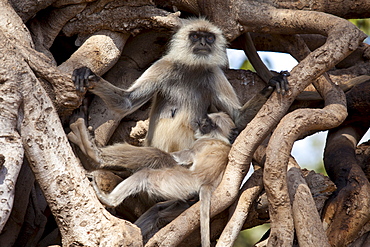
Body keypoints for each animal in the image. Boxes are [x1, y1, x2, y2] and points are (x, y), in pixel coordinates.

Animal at [71, 17, 288, 152]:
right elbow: (126, 102)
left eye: (209, 37)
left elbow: (239, 117)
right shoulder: (165, 65)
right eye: (196, 36)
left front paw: (273, 83)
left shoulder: (213, 74)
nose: (203, 44)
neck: (192, 68)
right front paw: (89, 76)